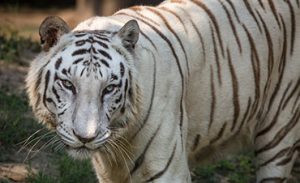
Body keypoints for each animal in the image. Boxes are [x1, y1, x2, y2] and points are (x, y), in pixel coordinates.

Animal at [26, 0, 300, 182]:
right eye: (68, 84)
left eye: (109, 88)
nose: (86, 138)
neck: (118, 144)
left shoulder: (169, 169)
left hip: (279, 132)